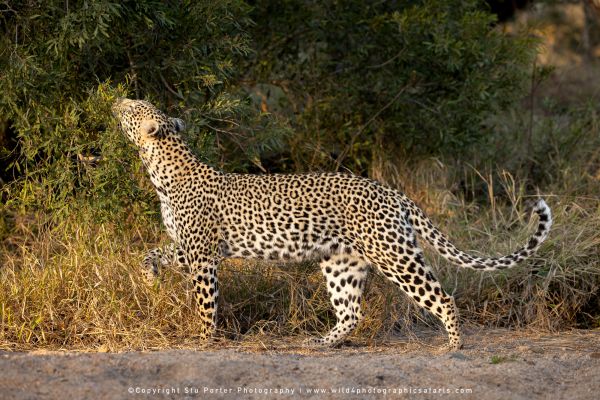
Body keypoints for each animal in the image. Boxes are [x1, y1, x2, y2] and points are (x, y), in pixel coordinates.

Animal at [112, 98, 552, 352]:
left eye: (134, 106)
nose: (117, 98)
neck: (162, 171)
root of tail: (391, 192)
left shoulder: (203, 256)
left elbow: (206, 302)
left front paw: (203, 339)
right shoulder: (189, 248)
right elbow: (151, 252)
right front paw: (149, 278)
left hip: (394, 254)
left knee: (441, 296)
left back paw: (454, 346)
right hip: (343, 262)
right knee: (350, 312)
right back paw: (321, 342)